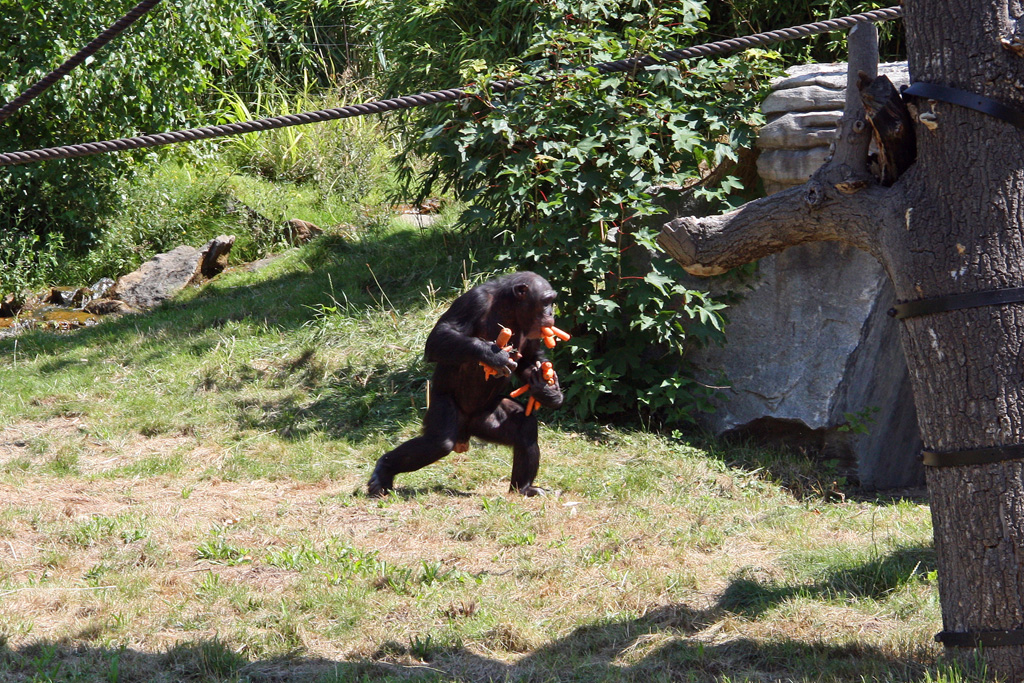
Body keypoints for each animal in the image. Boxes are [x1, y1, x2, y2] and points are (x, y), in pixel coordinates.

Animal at [368, 270, 565, 497]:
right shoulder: (473, 301)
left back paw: (524, 488)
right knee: (438, 442)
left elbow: (530, 358)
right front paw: (493, 355)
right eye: (545, 301)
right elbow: (440, 336)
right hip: (443, 405)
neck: (509, 309)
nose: (551, 313)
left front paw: (547, 390)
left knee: (525, 428)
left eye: (551, 301)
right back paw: (384, 471)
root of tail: (465, 433)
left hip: (486, 418)